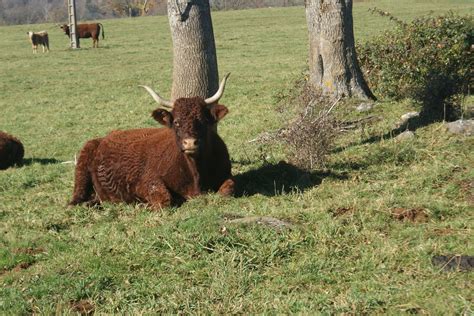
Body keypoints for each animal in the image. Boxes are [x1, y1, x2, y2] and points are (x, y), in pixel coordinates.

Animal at [69, 73, 234, 209]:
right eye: (176, 122)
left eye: (203, 121)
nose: (190, 143)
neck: (196, 172)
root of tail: (105, 137)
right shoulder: (146, 181)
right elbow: (164, 200)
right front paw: (142, 205)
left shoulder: (227, 175)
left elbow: (227, 191)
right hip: (82, 169)